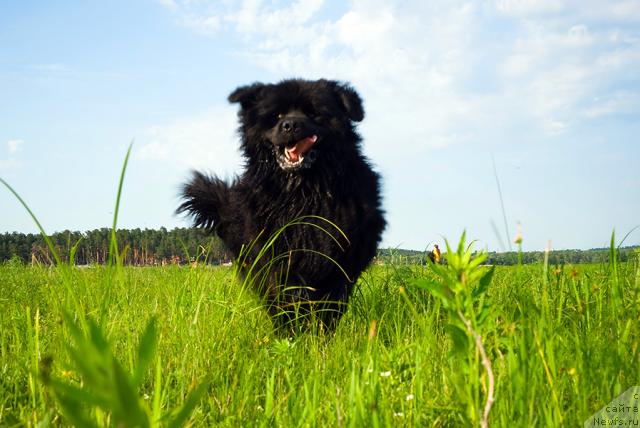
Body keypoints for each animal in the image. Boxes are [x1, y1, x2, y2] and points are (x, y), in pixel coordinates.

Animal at [178, 78, 384, 330]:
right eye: (276, 115)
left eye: (313, 113)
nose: (291, 125)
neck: (303, 191)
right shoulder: (272, 252)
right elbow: (285, 294)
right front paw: (293, 331)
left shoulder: (344, 253)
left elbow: (330, 299)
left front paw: (319, 332)